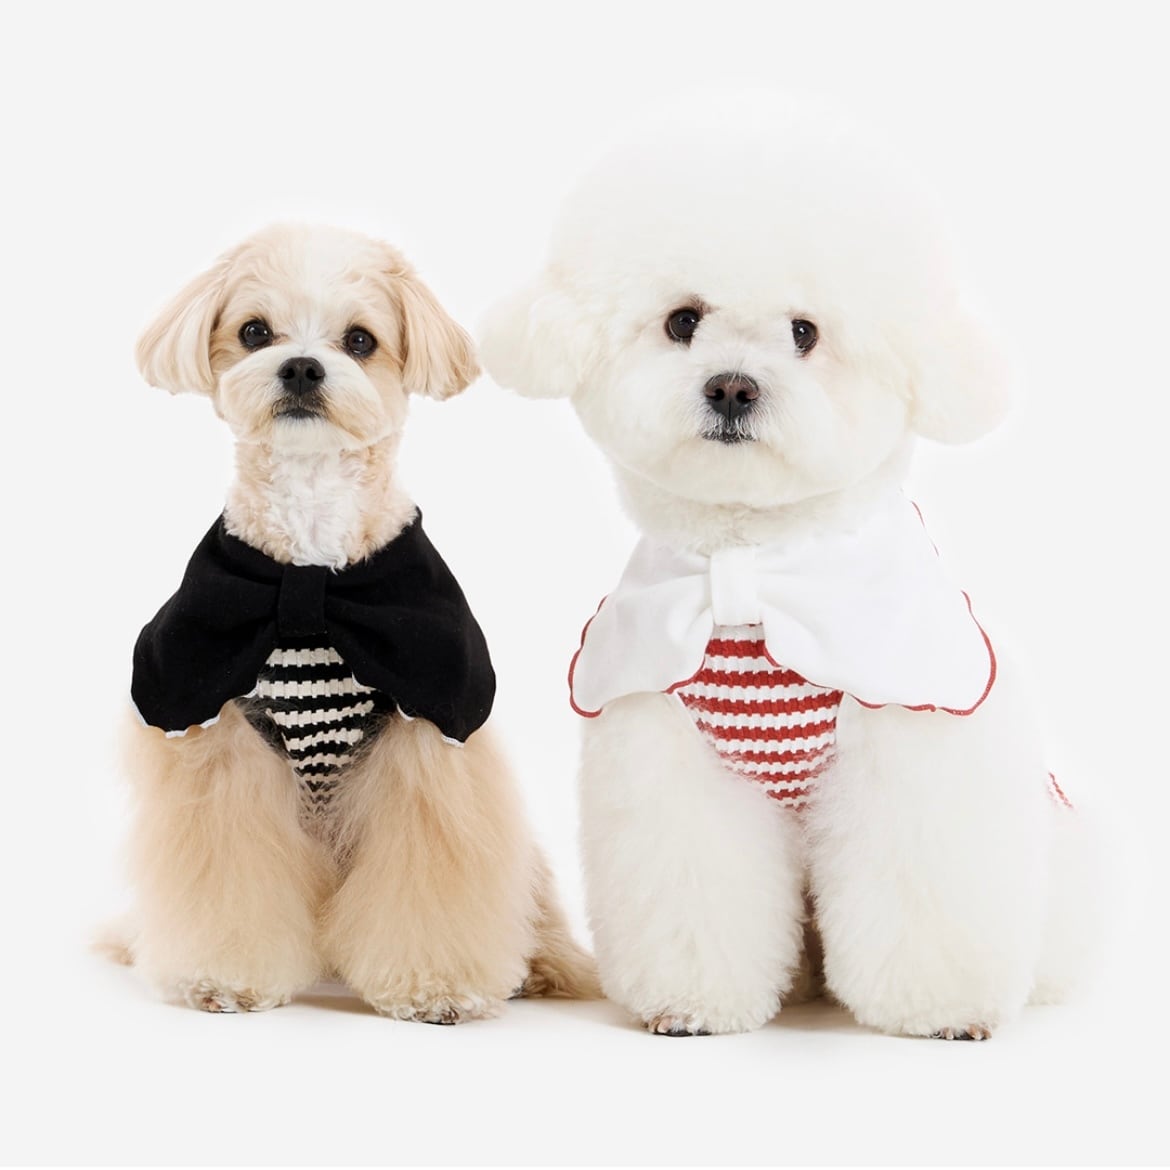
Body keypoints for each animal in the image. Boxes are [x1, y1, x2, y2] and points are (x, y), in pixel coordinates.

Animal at [124, 223, 597, 1019]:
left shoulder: (428, 726)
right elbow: (228, 878)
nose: (302, 367)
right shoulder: (221, 735)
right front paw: (224, 978)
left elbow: (432, 880)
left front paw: (436, 987)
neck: (309, 577)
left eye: (361, 340)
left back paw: (543, 967)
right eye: (254, 332)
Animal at [479, 99, 1101, 1039]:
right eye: (683, 321)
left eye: (805, 333)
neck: (755, 568)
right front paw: (691, 1005)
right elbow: (697, 890)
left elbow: (924, 886)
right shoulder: (675, 760)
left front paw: (941, 1011)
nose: (733, 388)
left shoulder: (913, 745)